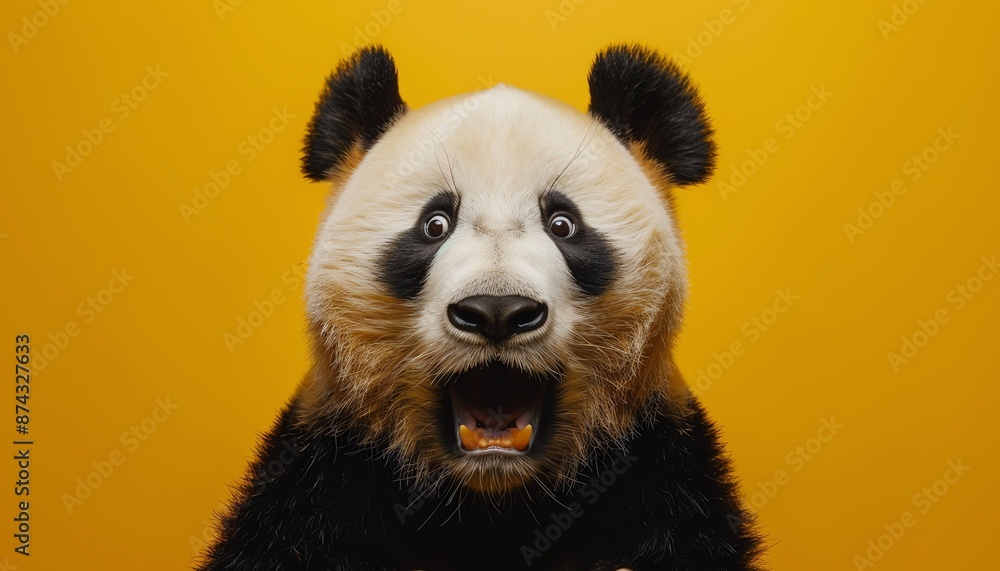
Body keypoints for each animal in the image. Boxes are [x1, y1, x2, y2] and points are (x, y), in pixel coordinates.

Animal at [198, 44, 765, 571]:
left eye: (563, 224)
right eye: (434, 225)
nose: (497, 310)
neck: (494, 501)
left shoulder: (659, 469)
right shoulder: (325, 469)